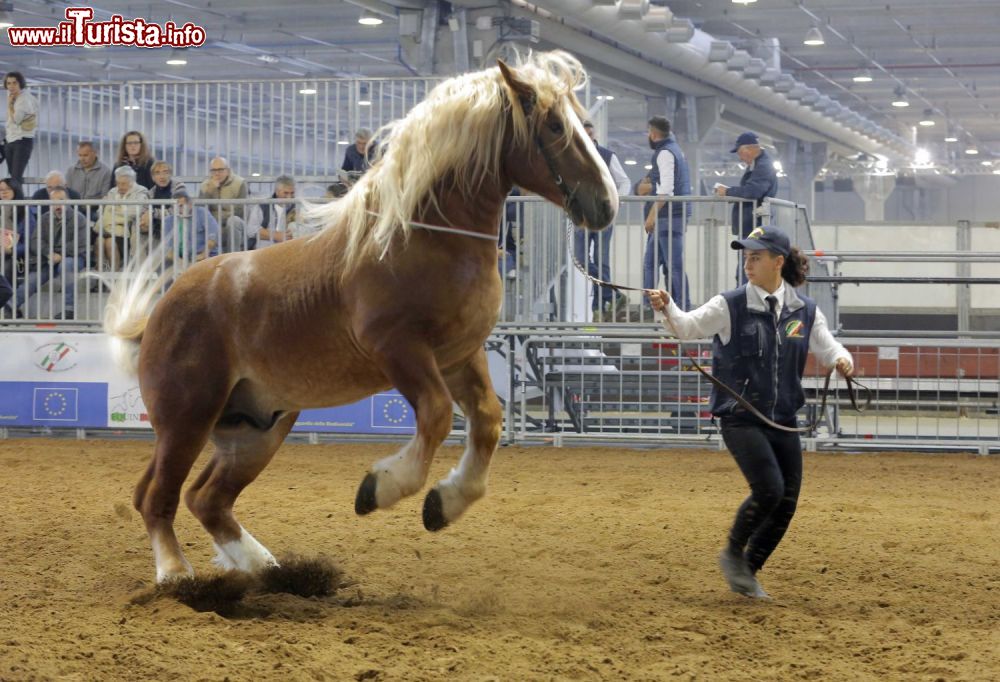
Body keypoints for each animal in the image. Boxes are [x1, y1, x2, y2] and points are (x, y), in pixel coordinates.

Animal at [104, 50, 619, 584]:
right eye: (555, 125)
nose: (605, 205)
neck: (422, 239)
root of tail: (159, 314)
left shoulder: (460, 355)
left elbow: (488, 422)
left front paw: (445, 503)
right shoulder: (399, 350)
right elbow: (437, 416)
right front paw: (381, 487)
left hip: (254, 429)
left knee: (206, 498)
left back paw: (264, 566)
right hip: (186, 419)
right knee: (156, 497)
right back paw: (175, 573)